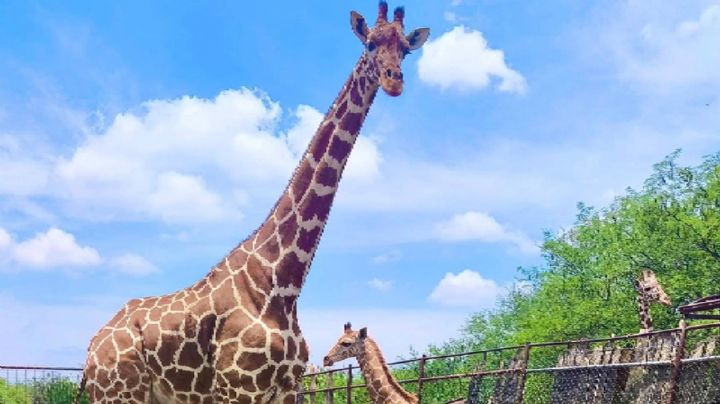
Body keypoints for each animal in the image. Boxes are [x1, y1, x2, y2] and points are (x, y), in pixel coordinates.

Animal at [76, 3, 429, 403]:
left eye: (406, 49)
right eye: (370, 43)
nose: (394, 81)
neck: (283, 282)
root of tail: (91, 351)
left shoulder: (287, 388)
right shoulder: (238, 388)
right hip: (118, 392)